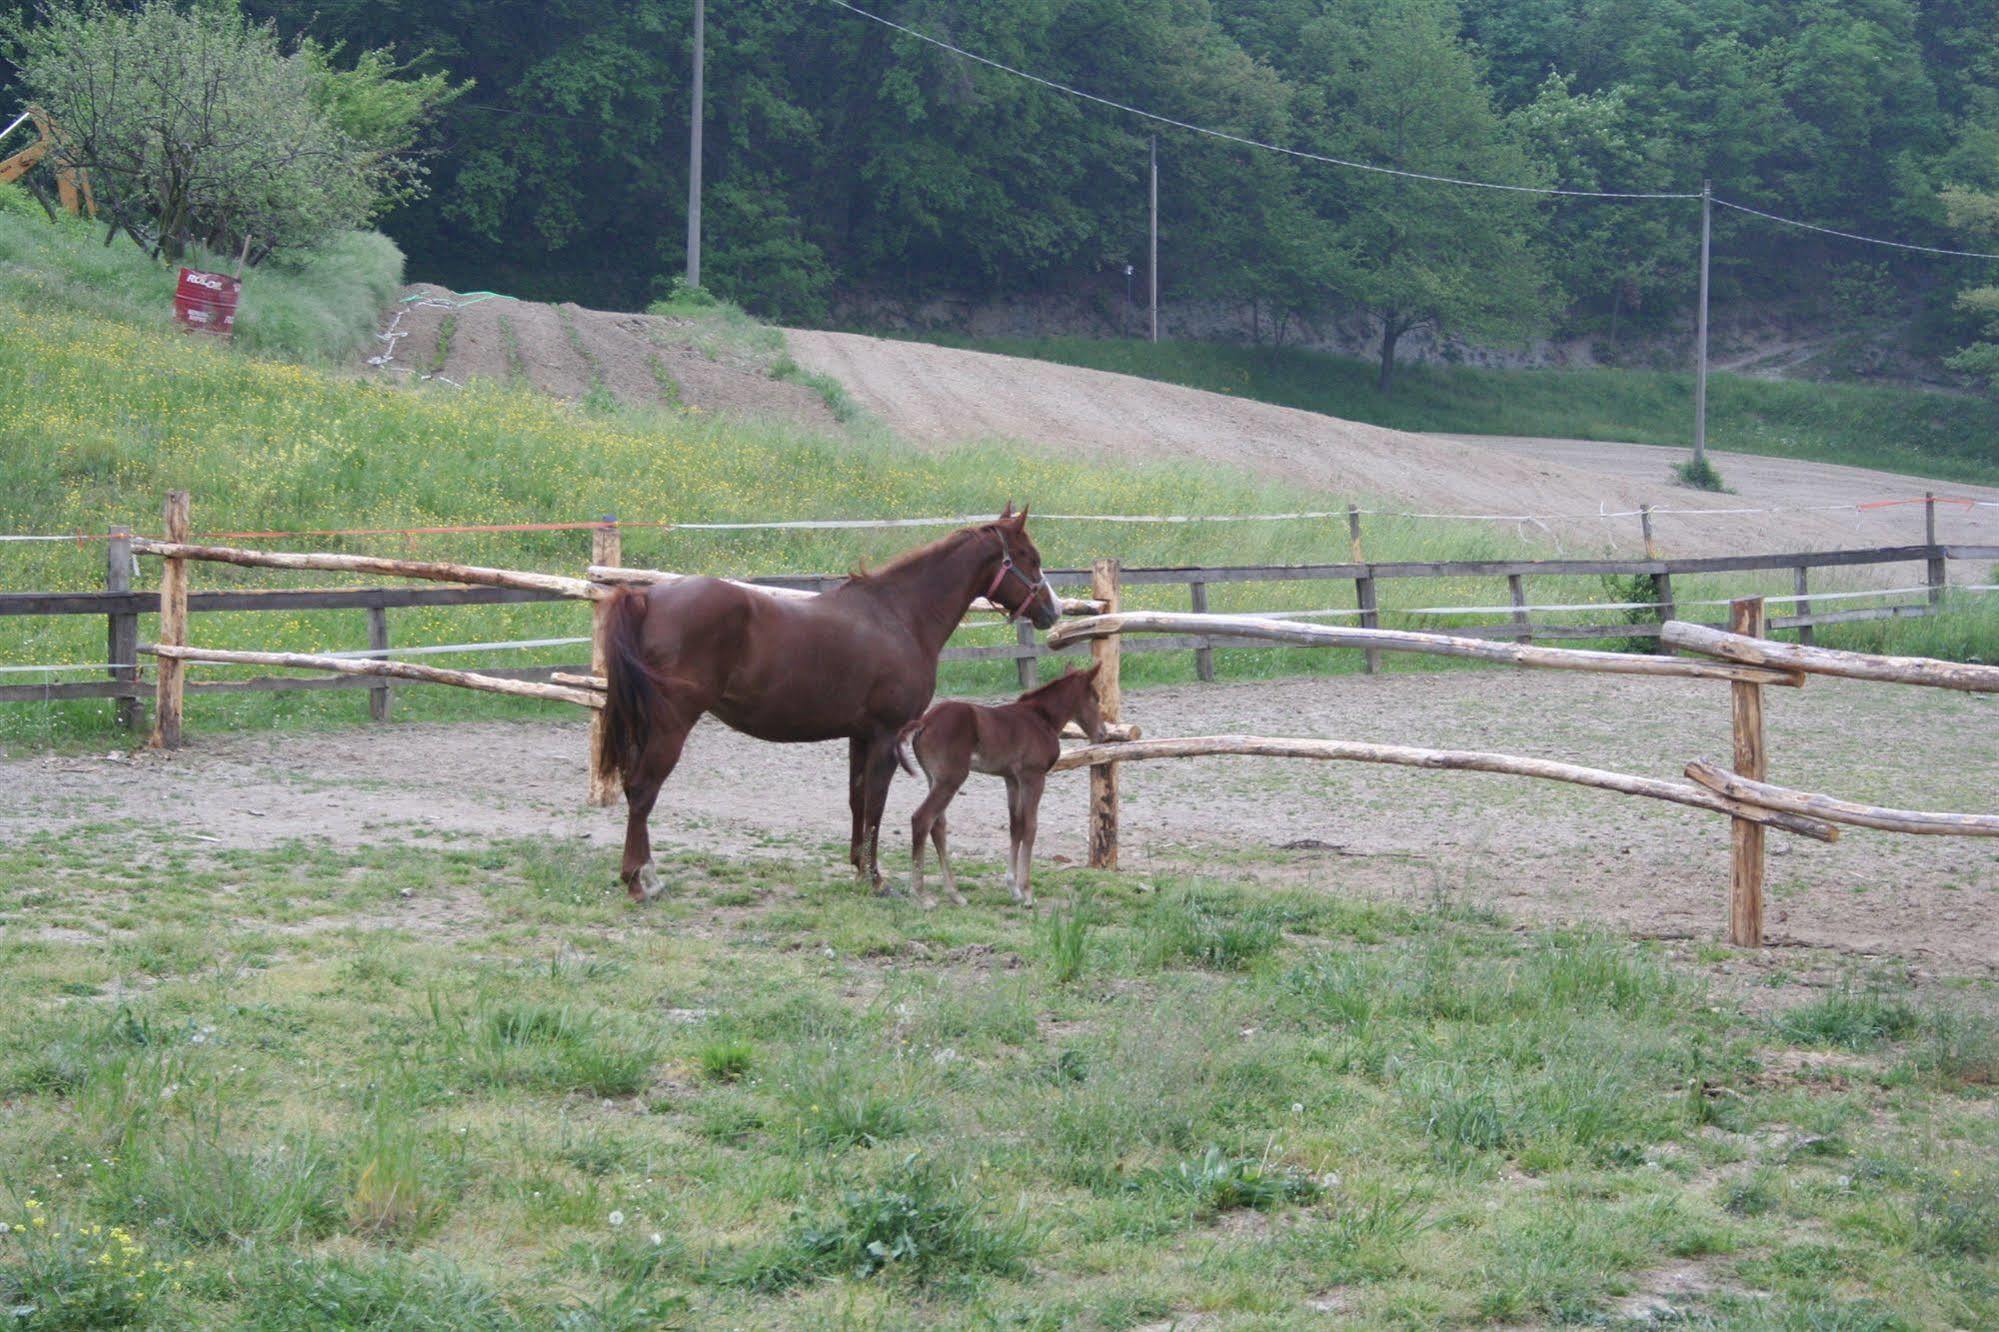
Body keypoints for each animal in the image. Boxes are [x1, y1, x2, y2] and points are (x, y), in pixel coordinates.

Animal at [591, 504, 1063, 896]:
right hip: (671, 725)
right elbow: (876, 802)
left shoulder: (860, 735)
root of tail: (646, 596)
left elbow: (857, 799)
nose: (1053, 611)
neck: (900, 615)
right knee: (643, 791)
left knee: (636, 788)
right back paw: (639, 881)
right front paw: (875, 879)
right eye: (1030, 557)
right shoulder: (887, 735)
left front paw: (858, 868)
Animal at [895, 660, 1103, 904]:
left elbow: (1016, 826)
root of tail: (924, 722)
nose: (1102, 733)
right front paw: (1027, 892)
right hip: (951, 779)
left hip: (933, 778)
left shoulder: (1011, 779)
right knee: (922, 818)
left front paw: (1013, 888)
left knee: (938, 825)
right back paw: (919, 893)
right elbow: (1030, 827)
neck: (1041, 719)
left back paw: (954, 893)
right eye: (1096, 698)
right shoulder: (1033, 777)